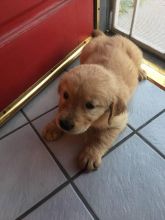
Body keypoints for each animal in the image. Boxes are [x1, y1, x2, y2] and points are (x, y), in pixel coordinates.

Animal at [42, 30, 147, 172]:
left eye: (90, 106)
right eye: (65, 95)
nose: (64, 124)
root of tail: (109, 36)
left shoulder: (118, 122)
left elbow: (101, 138)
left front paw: (90, 155)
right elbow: (59, 112)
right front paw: (53, 126)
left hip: (136, 52)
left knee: (139, 63)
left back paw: (140, 72)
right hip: (86, 50)